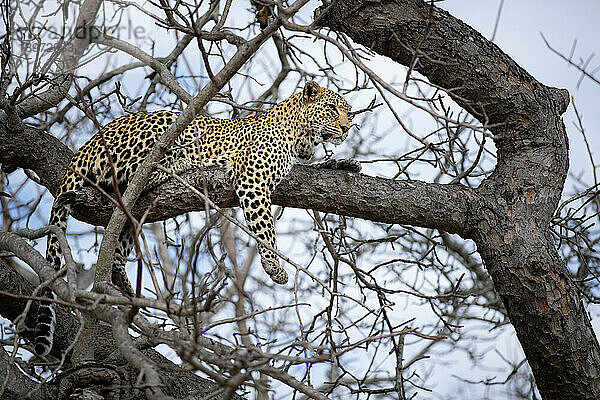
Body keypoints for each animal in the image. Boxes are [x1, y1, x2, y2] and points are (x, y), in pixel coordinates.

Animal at [31, 79, 356, 354]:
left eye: (348, 113)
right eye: (331, 109)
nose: (346, 129)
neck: (302, 138)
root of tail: (85, 146)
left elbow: (316, 167)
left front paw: (345, 164)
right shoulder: (253, 179)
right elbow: (265, 229)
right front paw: (274, 267)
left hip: (128, 210)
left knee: (117, 244)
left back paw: (127, 289)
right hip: (164, 128)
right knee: (142, 172)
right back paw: (184, 162)